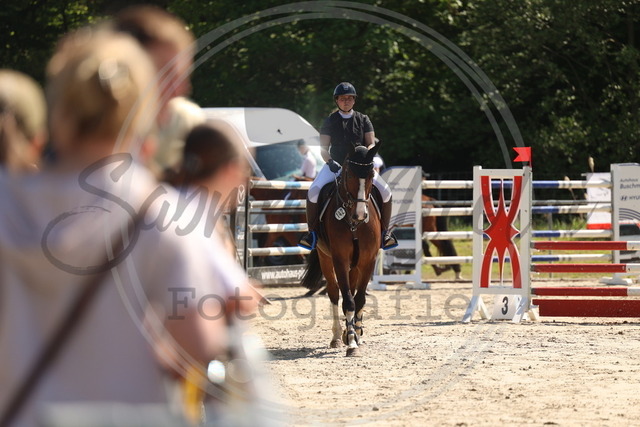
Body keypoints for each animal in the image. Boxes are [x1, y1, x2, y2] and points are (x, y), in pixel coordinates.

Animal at [301, 145, 381, 357]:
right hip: (326, 258)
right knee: (334, 293)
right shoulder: (340, 259)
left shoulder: (368, 261)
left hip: (355, 265)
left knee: (351, 290)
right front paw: (351, 342)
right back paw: (338, 336)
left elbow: (359, 299)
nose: (360, 215)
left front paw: (356, 334)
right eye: (349, 174)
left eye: (371, 174)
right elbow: (348, 300)